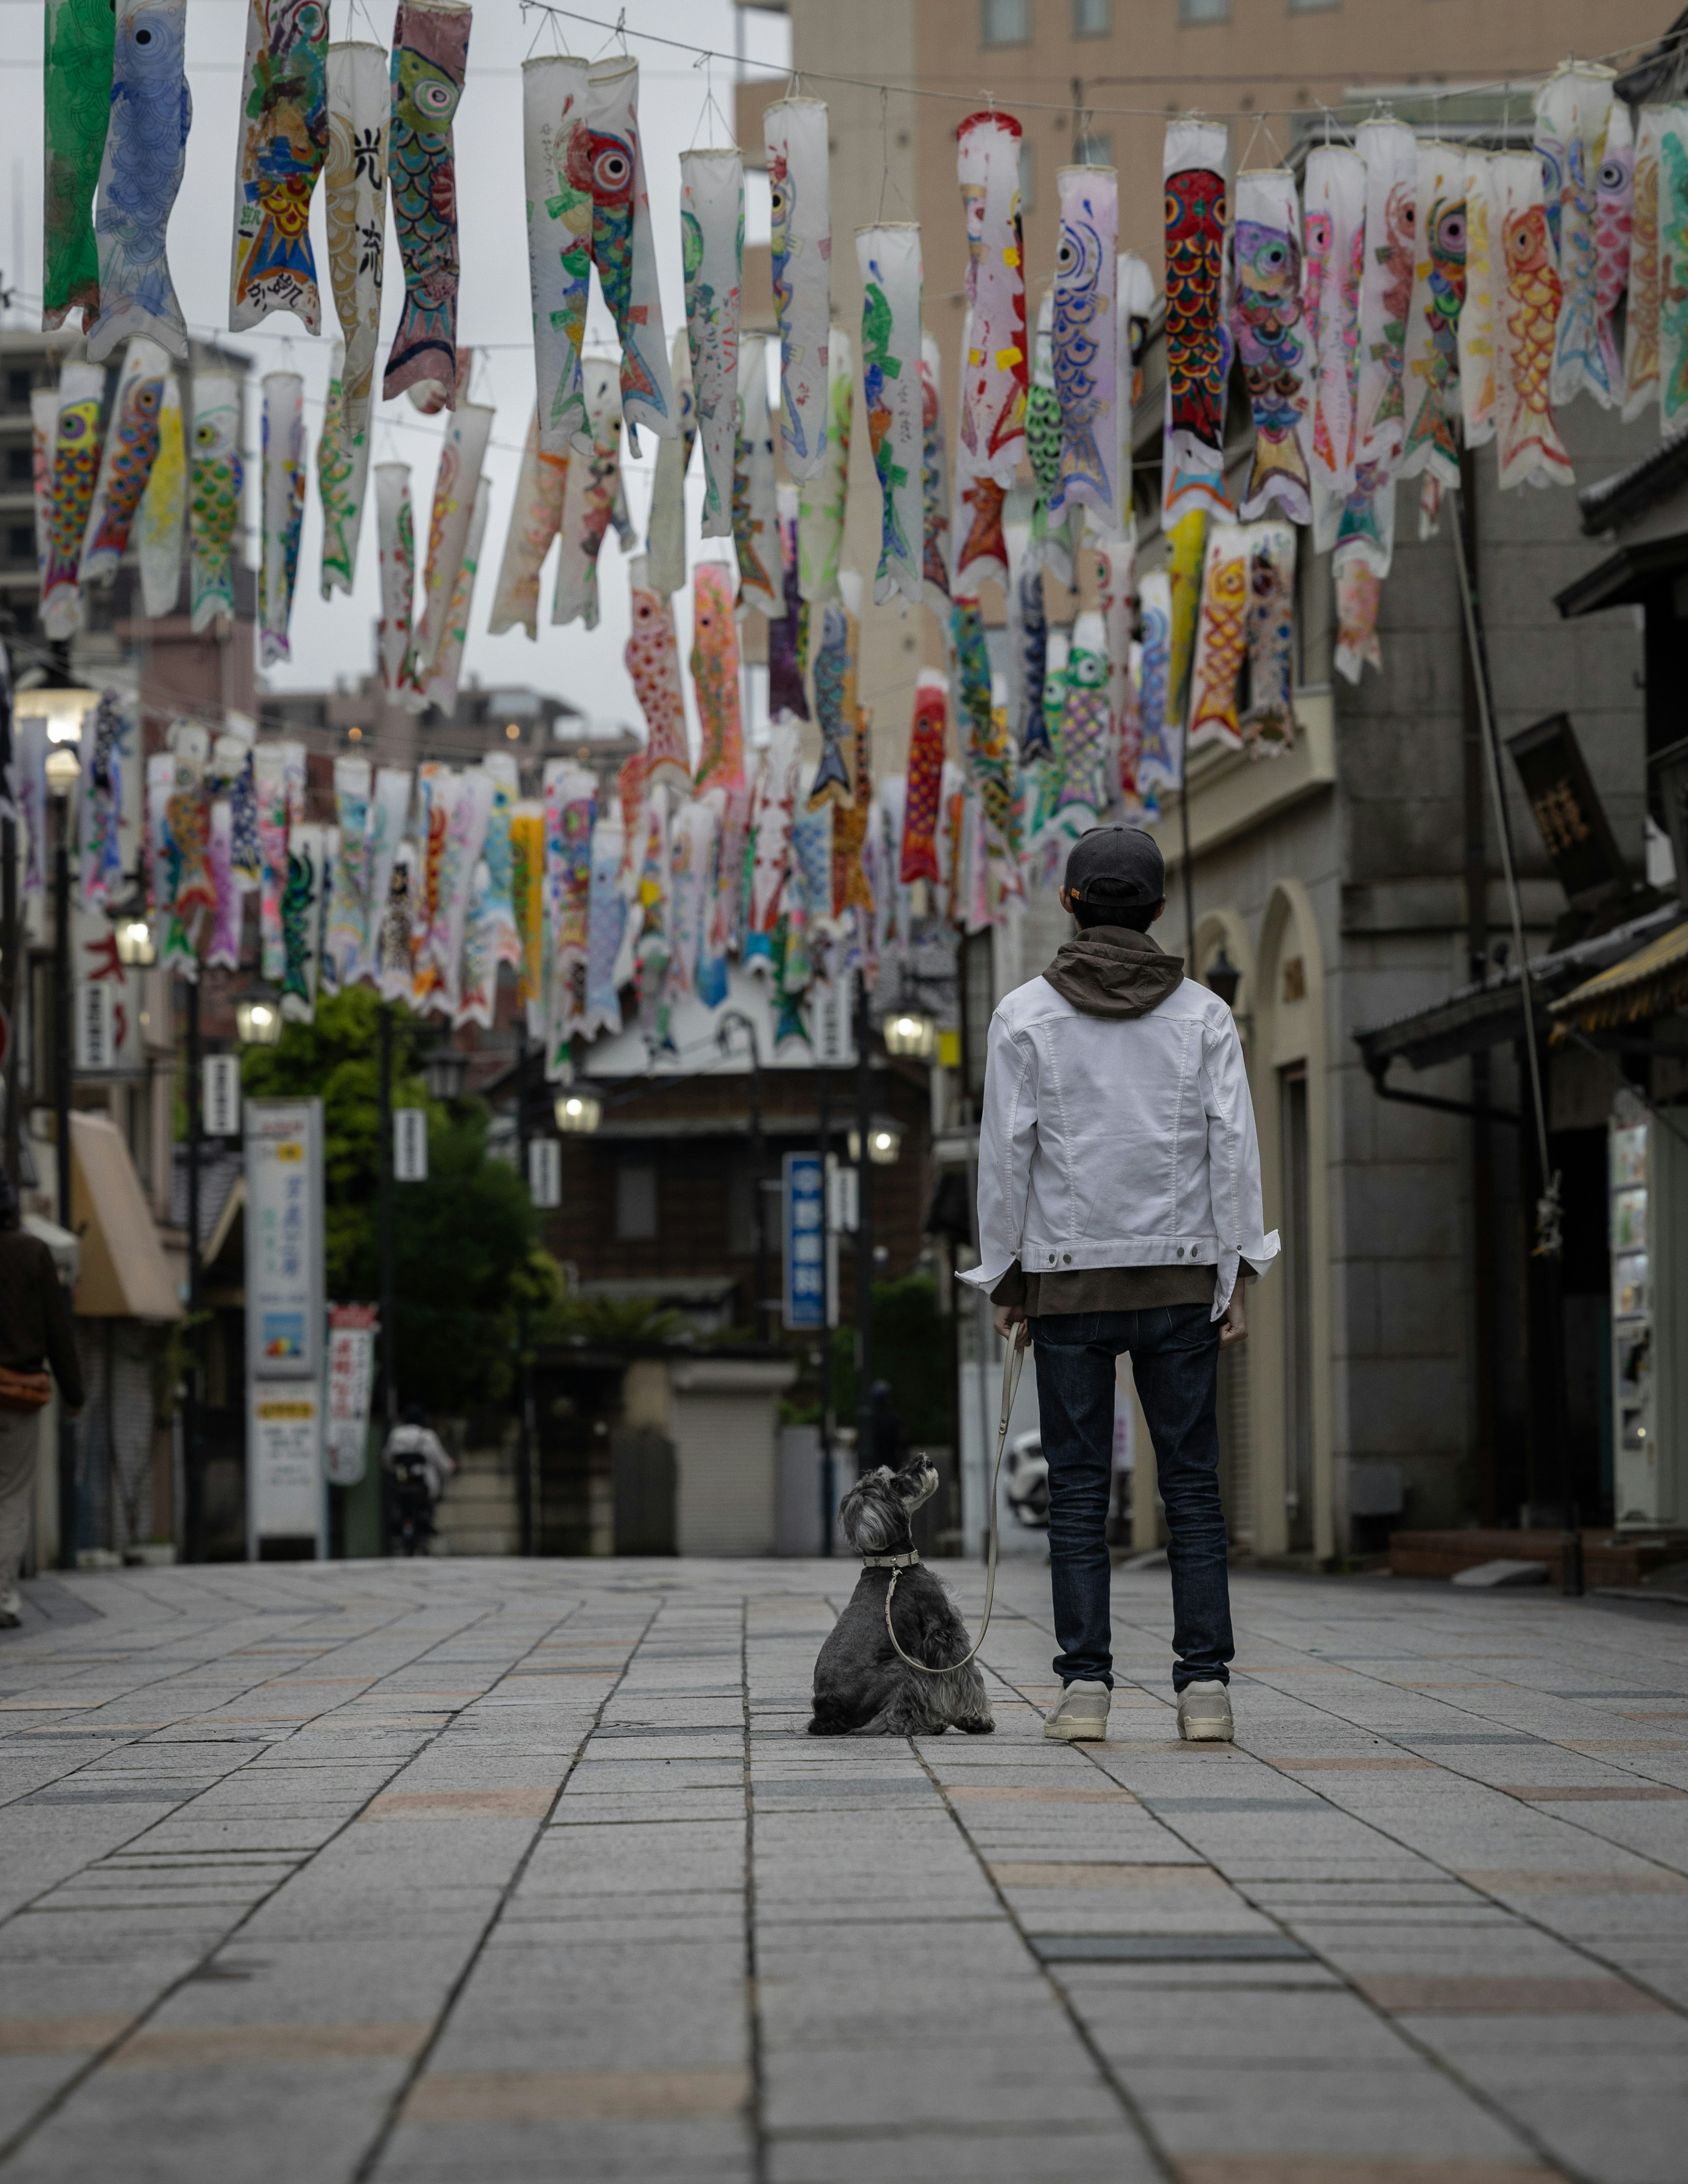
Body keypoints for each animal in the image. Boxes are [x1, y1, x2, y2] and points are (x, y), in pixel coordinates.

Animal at [808, 1459, 996, 1730]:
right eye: (894, 1483)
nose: (926, 1461)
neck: (894, 1564)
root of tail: (828, 1712)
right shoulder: (944, 1630)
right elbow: (965, 1675)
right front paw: (976, 1718)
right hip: (905, 1665)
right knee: (895, 1713)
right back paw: (930, 1724)